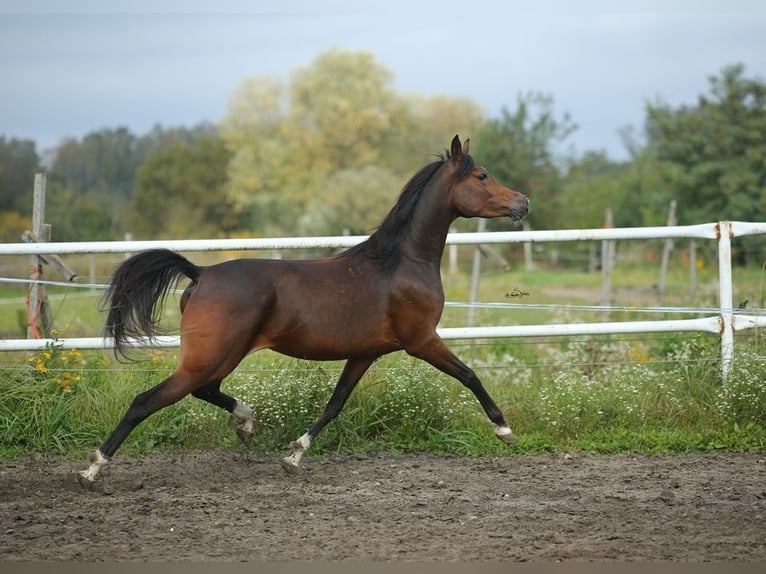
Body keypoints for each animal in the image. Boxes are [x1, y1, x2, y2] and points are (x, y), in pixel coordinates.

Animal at [79, 137, 536, 488]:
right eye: (482, 176)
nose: (524, 203)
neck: (401, 262)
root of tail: (201, 272)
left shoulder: (365, 352)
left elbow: (335, 404)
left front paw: (294, 456)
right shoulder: (421, 341)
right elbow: (470, 375)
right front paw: (505, 430)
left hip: (221, 355)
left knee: (204, 391)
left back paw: (246, 423)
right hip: (209, 356)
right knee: (147, 401)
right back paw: (92, 470)